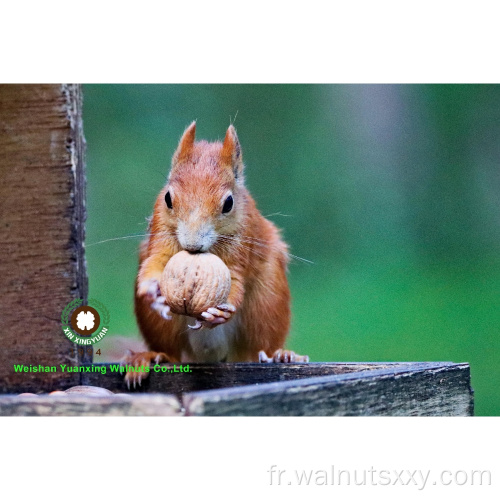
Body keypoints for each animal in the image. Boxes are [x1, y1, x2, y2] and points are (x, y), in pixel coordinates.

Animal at [122, 123, 308, 388]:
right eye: (168, 198)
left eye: (228, 203)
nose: (192, 245)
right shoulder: (160, 232)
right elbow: (156, 262)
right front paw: (152, 291)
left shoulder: (242, 242)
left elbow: (236, 280)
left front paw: (220, 312)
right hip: (159, 327)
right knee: (171, 353)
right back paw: (149, 357)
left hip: (268, 303)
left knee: (259, 345)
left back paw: (281, 356)